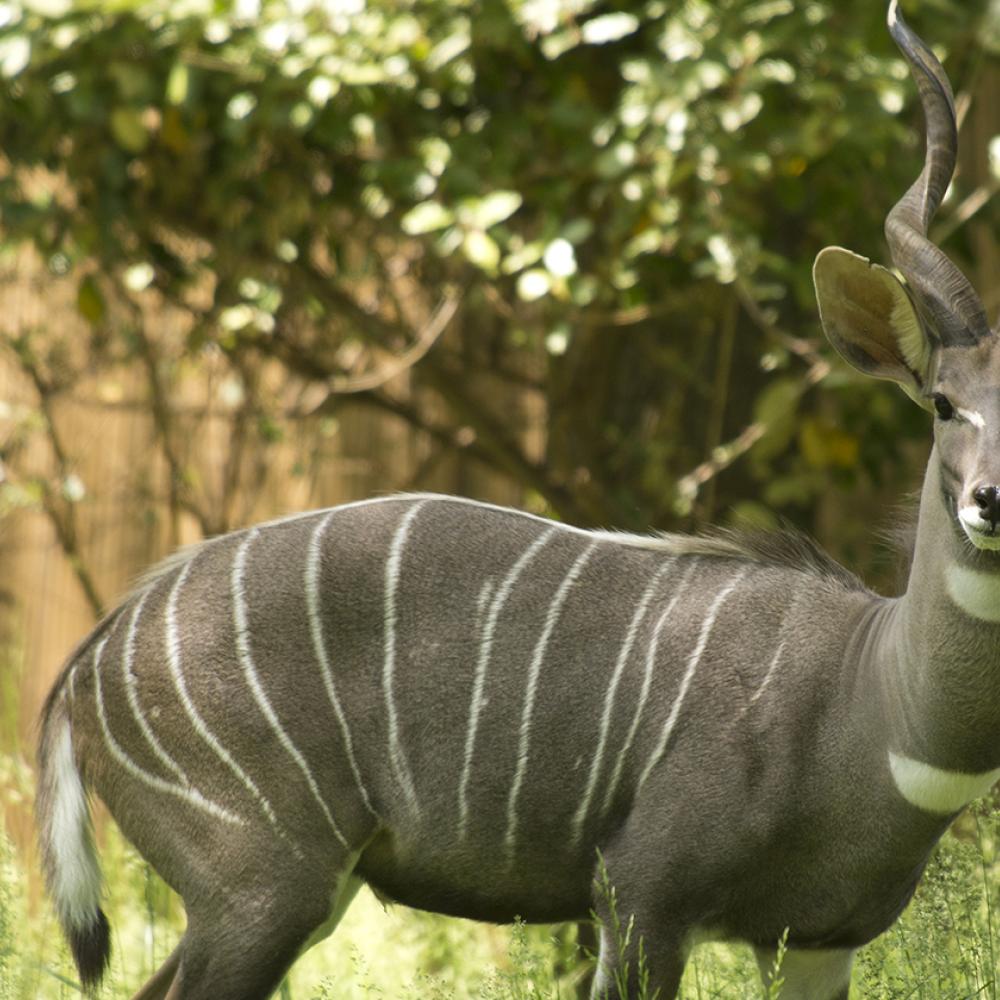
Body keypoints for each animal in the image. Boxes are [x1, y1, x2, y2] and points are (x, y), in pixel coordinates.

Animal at [33, 3, 1000, 996]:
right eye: (941, 401)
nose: (990, 501)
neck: (868, 701)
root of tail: (90, 659)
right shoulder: (641, 894)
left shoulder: (816, 941)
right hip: (262, 886)